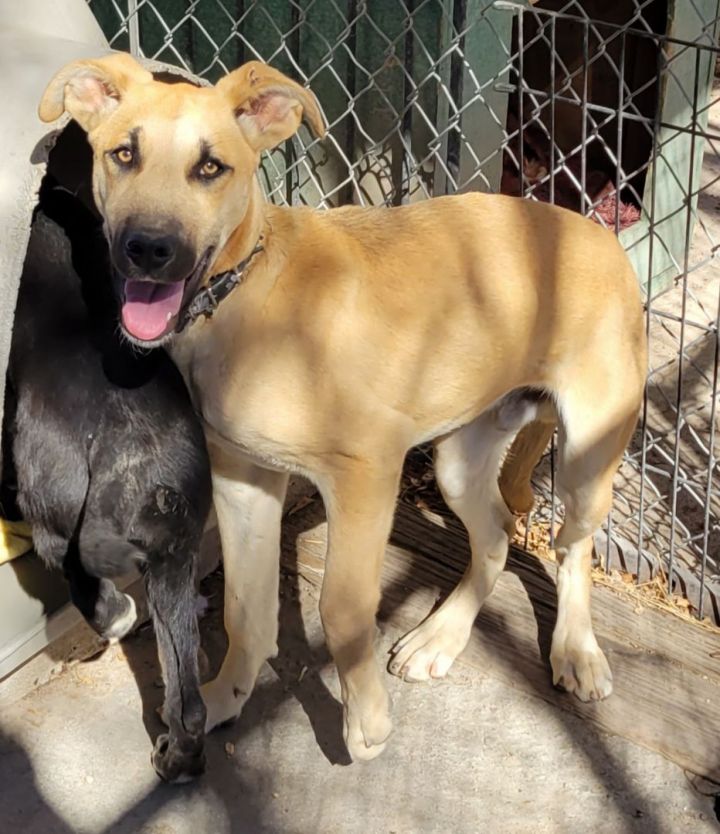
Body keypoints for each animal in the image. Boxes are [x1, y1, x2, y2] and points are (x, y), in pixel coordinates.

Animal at [2, 182, 211, 780]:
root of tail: (139, 480)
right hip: (174, 557)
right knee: (187, 700)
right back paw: (177, 758)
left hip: (53, 509)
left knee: (72, 570)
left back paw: (115, 616)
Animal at [38, 53, 648, 760]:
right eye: (124, 155)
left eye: (210, 168)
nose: (148, 249)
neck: (248, 293)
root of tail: (596, 233)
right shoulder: (244, 477)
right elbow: (245, 609)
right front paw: (222, 699)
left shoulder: (366, 472)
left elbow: (343, 607)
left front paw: (365, 718)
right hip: (459, 458)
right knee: (496, 536)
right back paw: (441, 638)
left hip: (587, 457)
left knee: (571, 547)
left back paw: (576, 651)